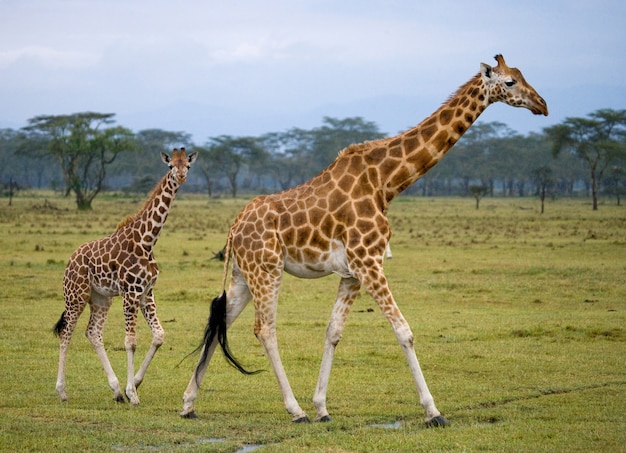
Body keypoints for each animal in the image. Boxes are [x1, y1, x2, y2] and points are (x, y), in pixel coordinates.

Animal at [53, 147, 196, 404]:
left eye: (187, 166)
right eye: (171, 166)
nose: (180, 176)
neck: (146, 242)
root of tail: (71, 259)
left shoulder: (146, 293)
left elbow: (159, 335)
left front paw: (135, 384)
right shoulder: (131, 292)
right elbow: (130, 342)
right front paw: (133, 394)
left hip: (101, 298)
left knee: (93, 332)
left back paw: (116, 390)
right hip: (75, 295)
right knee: (66, 332)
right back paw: (62, 391)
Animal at [182, 55, 544, 424]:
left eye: (523, 75)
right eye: (510, 82)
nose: (541, 105)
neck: (386, 182)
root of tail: (233, 228)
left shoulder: (353, 272)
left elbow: (333, 332)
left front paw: (323, 407)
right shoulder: (369, 262)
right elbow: (404, 332)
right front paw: (433, 411)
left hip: (244, 276)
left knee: (220, 323)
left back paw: (189, 404)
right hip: (266, 270)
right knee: (264, 329)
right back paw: (295, 410)